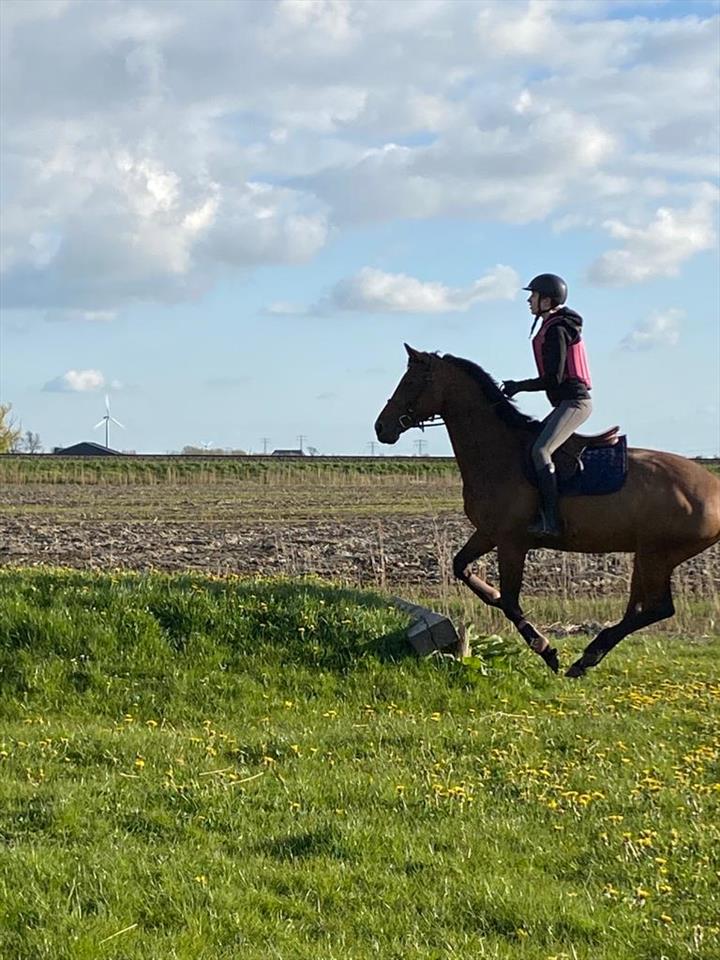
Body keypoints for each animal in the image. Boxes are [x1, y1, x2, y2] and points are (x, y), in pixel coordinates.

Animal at [374, 344, 720, 677]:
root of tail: (713, 486)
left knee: (655, 608)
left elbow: (510, 601)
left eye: (411, 382)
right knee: (644, 607)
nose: (381, 427)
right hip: (650, 556)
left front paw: (545, 648)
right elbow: (462, 568)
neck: (499, 453)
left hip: (656, 554)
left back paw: (587, 655)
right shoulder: (488, 533)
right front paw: (491, 595)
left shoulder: (512, 542)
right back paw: (590, 655)